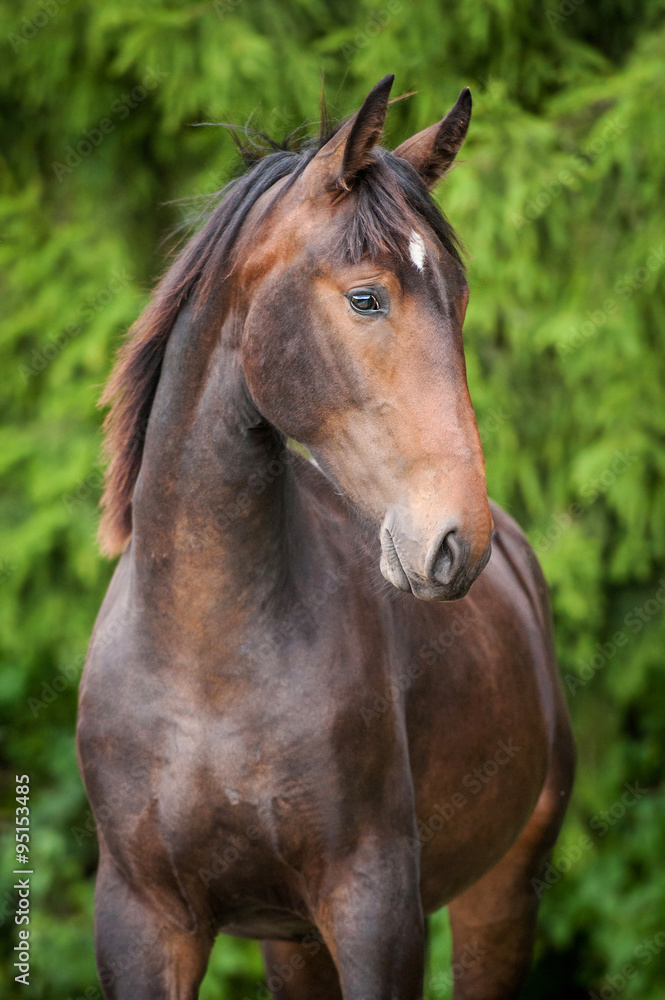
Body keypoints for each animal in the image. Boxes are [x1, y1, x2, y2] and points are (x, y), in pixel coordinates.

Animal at [77, 75, 574, 1000]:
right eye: (366, 297)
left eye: (457, 299)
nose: (456, 541)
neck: (206, 657)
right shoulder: (142, 923)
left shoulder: (376, 914)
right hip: (294, 941)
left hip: (499, 896)